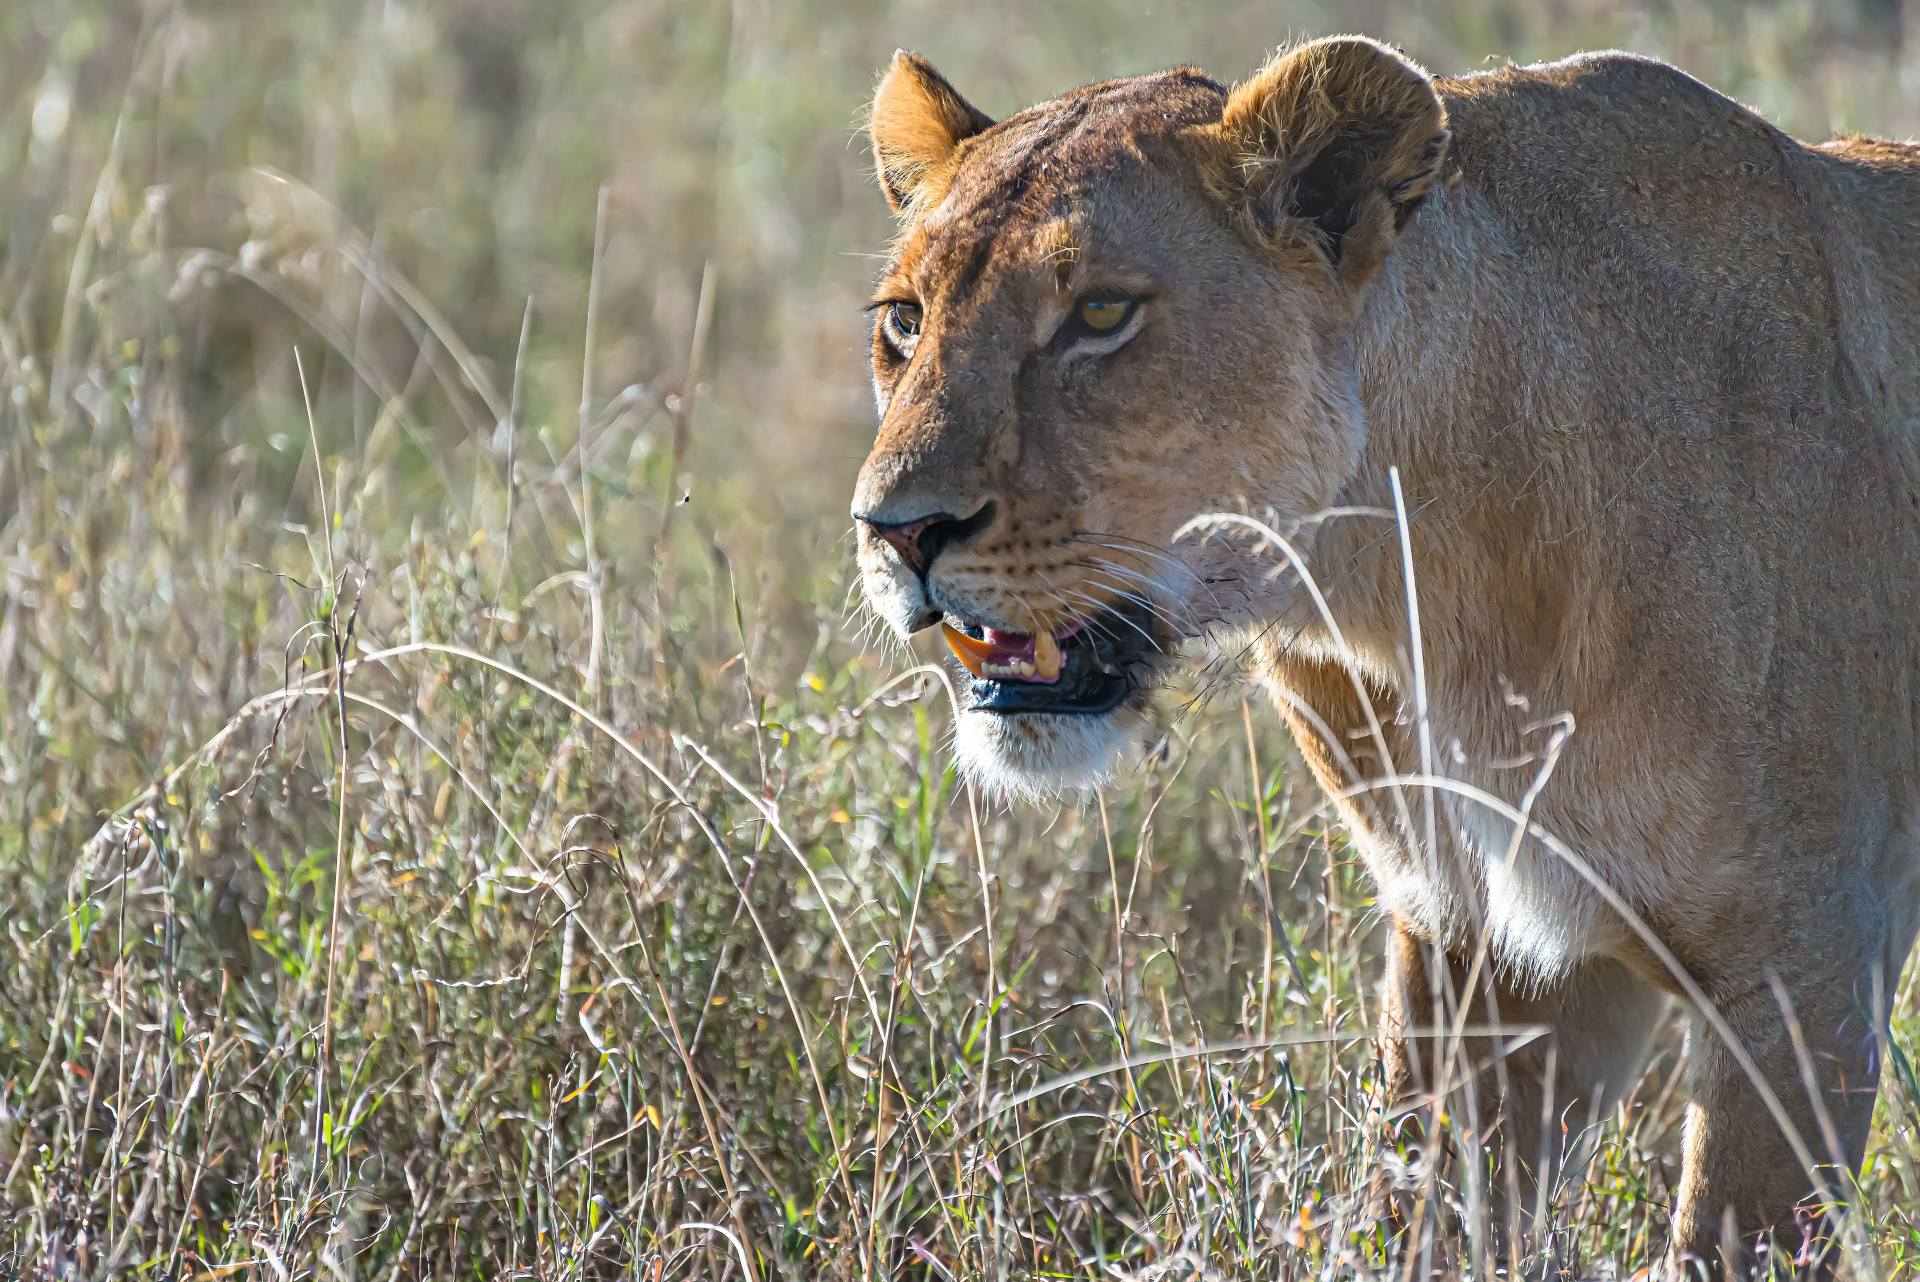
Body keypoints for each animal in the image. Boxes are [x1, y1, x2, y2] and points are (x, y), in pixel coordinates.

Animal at [848, 33, 1920, 1274]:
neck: (1420, 589)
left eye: (1103, 313)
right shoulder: (1483, 946)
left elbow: (1728, 1240)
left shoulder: (1806, 965)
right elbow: (1421, 1208)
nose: (895, 531)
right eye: (905, 321)